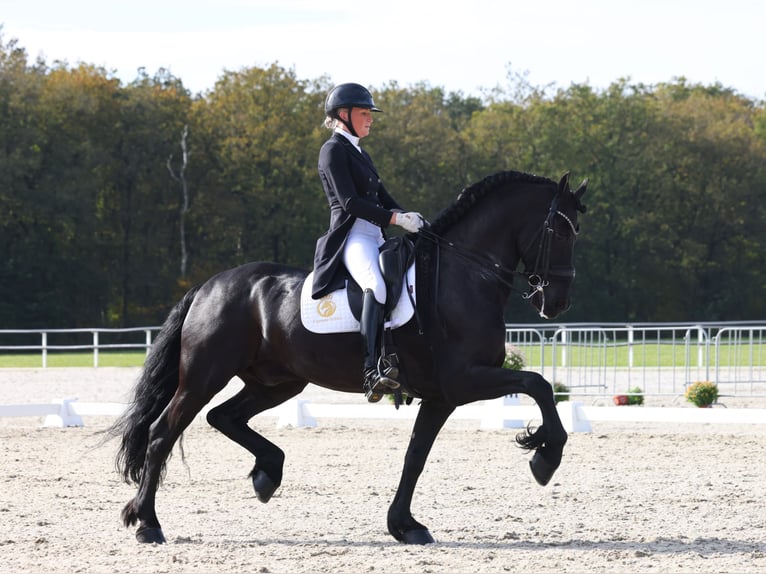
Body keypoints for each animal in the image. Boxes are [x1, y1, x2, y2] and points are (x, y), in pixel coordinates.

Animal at [108, 169, 588, 548]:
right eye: (562, 232)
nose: (557, 303)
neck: (463, 275)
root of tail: (208, 286)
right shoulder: (463, 379)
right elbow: (537, 384)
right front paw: (545, 458)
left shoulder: (441, 395)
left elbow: (416, 456)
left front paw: (404, 525)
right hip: (205, 375)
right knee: (162, 433)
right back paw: (148, 524)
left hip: (278, 382)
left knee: (223, 417)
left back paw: (267, 473)